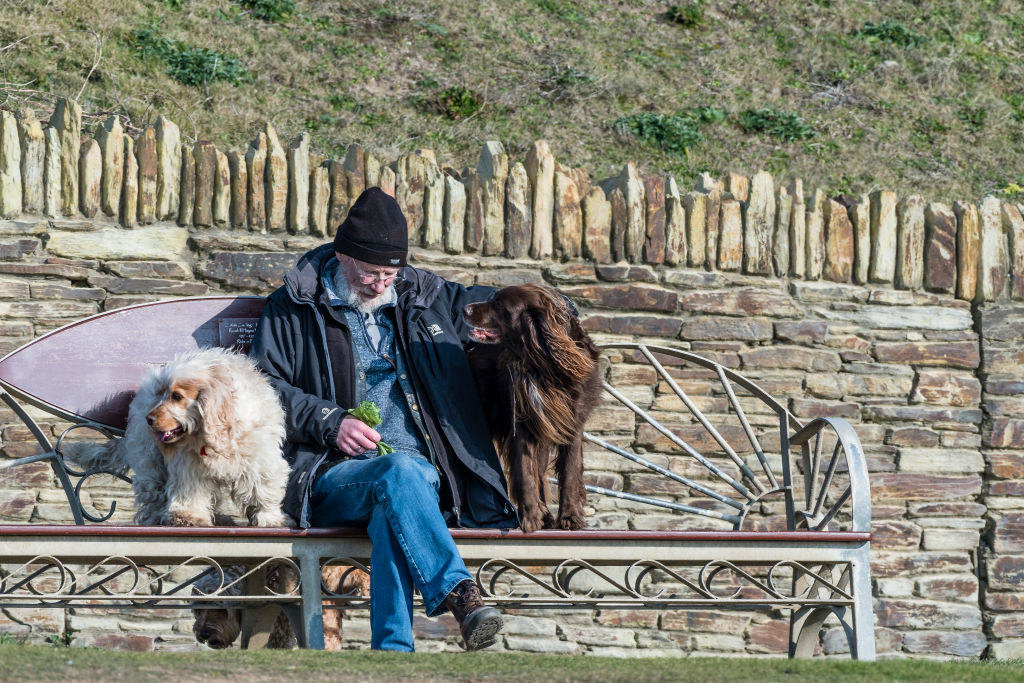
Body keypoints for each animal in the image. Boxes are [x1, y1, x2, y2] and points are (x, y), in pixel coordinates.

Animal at [74, 348, 292, 528]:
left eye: (177, 397)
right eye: (161, 395)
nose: (148, 419)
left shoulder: (259, 458)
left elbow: (261, 489)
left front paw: (269, 518)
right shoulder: (188, 465)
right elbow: (190, 491)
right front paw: (188, 517)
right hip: (151, 462)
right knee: (153, 495)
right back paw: (156, 518)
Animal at [462, 282, 598, 532]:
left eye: (498, 305)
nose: (465, 309)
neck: (544, 365)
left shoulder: (572, 424)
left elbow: (569, 473)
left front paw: (569, 517)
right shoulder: (521, 424)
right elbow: (525, 472)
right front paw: (531, 517)